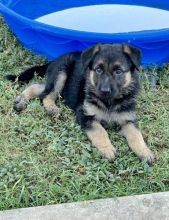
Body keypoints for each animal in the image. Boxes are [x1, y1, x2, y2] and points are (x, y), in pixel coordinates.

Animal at [6, 43, 154, 163]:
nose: (104, 90)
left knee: (38, 87)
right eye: (98, 70)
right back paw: (51, 109)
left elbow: (136, 135)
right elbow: (100, 131)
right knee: (46, 95)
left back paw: (21, 99)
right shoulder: (85, 114)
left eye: (118, 71)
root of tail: (55, 60)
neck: (109, 102)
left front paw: (144, 151)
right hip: (61, 73)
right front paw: (107, 149)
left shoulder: (128, 120)